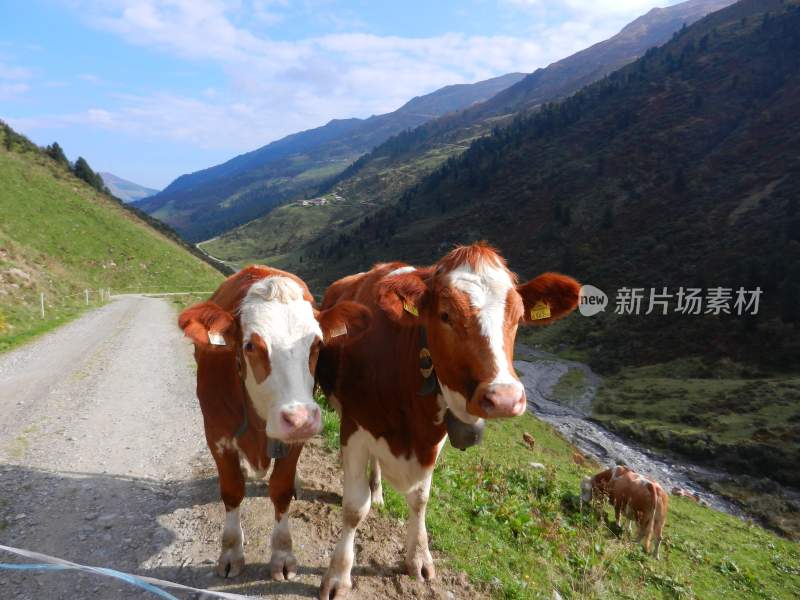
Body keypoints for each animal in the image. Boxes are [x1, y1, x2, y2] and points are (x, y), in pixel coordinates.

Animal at [178, 266, 368, 580]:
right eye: (250, 345)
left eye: (317, 344)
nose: (301, 419)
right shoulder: (216, 434)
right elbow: (232, 490)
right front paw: (231, 552)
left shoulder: (294, 442)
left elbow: (280, 490)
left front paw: (282, 554)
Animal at [314, 243, 580, 596]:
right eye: (445, 315)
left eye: (517, 317)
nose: (505, 398)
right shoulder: (356, 426)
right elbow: (355, 507)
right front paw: (338, 576)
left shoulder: (433, 437)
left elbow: (420, 499)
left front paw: (418, 558)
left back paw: (379, 491)